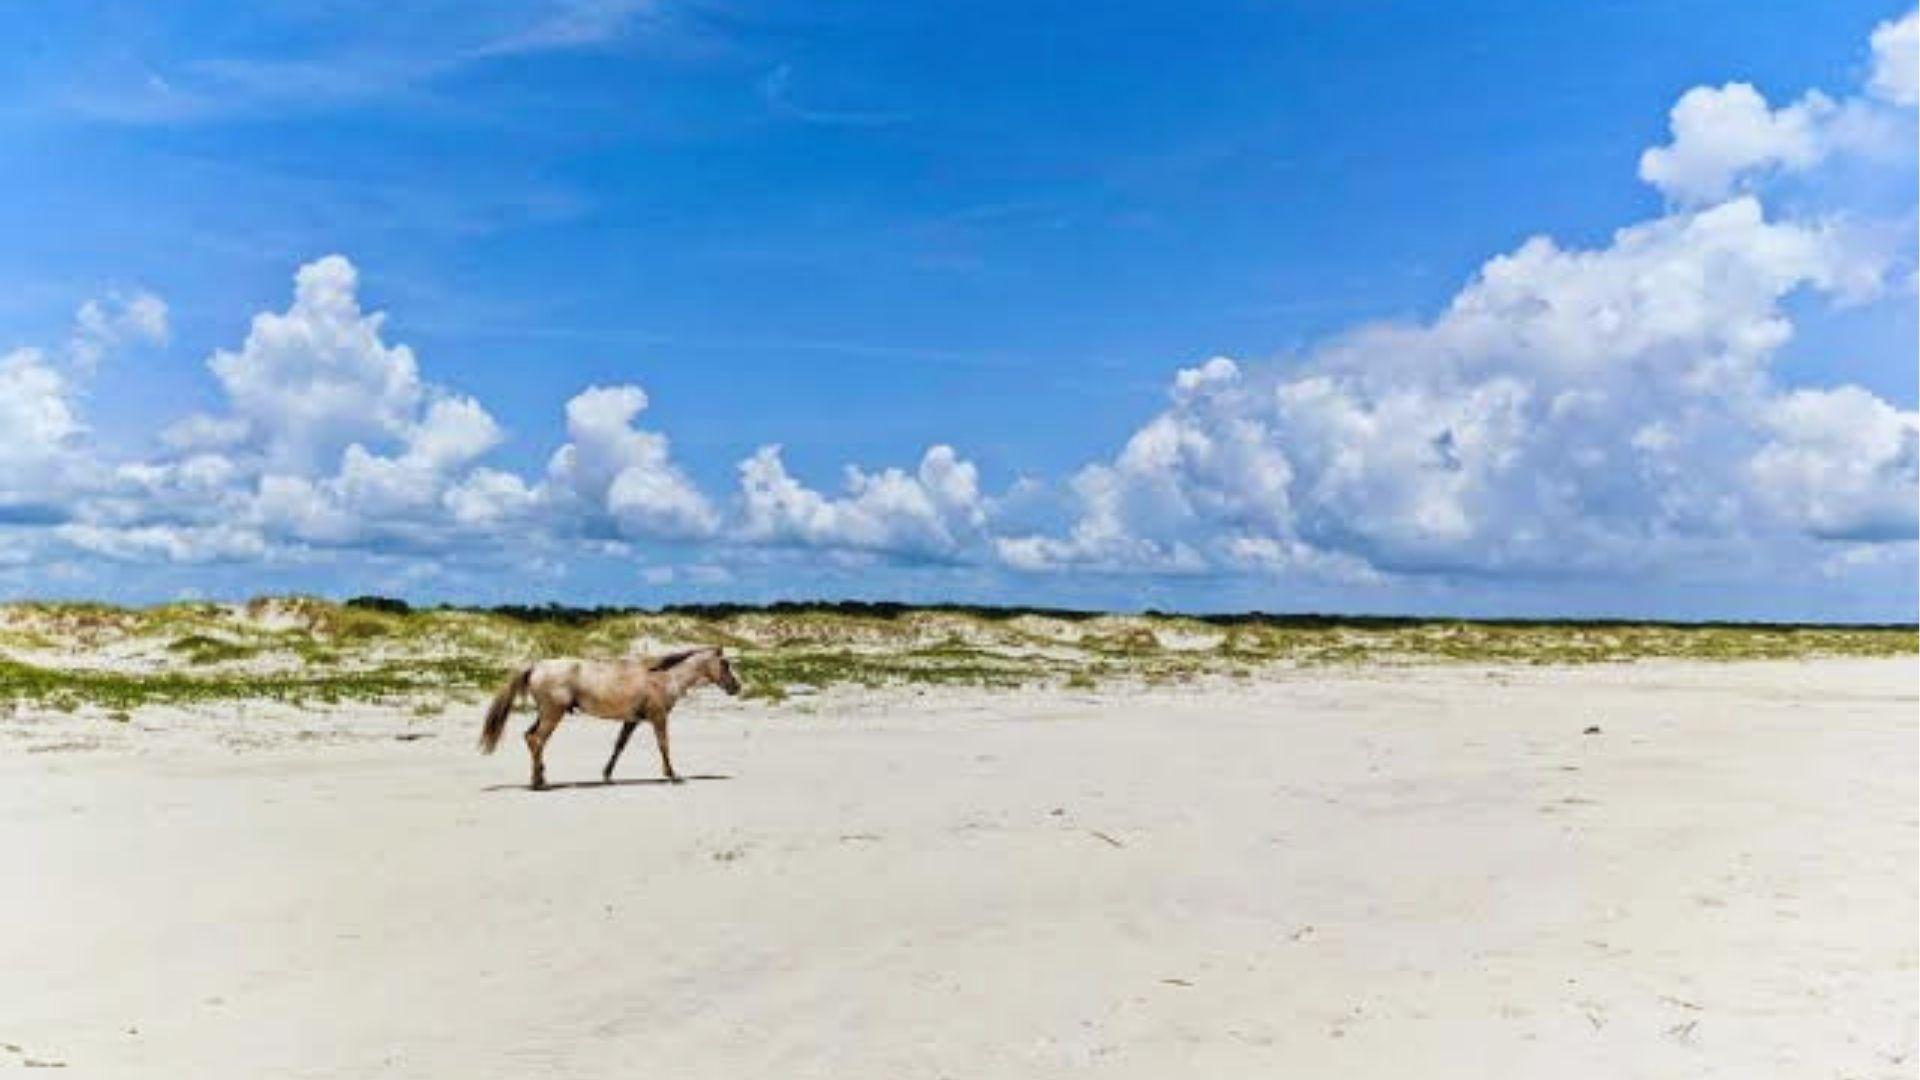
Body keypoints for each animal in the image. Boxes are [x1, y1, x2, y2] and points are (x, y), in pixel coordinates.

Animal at [478, 646, 742, 789]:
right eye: (726, 664)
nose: (736, 687)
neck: (664, 677)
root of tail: (536, 666)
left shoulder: (632, 721)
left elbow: (619, 746)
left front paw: (607, 775)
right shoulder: (658, 717)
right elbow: (664, 745)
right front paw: (673, 775)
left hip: (546, 713)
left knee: (530, 737)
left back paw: (541, 777)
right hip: (553, 714)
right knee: (536, 739)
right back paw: (538, 783)